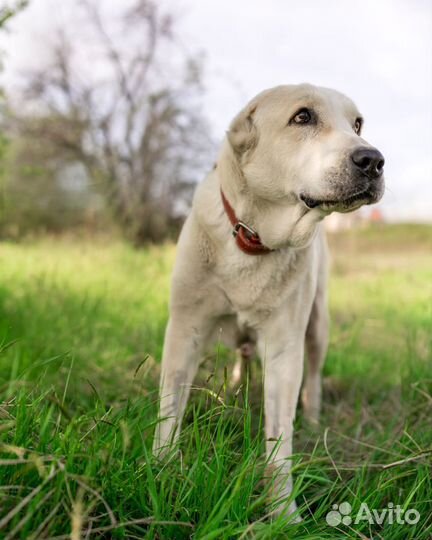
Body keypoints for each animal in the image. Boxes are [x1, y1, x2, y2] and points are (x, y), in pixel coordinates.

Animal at [153, 83, 384, 520]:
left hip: (318, 326)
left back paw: (313, 418)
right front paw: (162, 469)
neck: (253, 239)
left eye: (358, 124)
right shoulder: (185, 328)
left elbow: (280, 438)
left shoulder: (284, 347)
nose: (374, 160)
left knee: (313, 377)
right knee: (241, 357)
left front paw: (283, 513)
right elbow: (170, 407)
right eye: (303, 117)